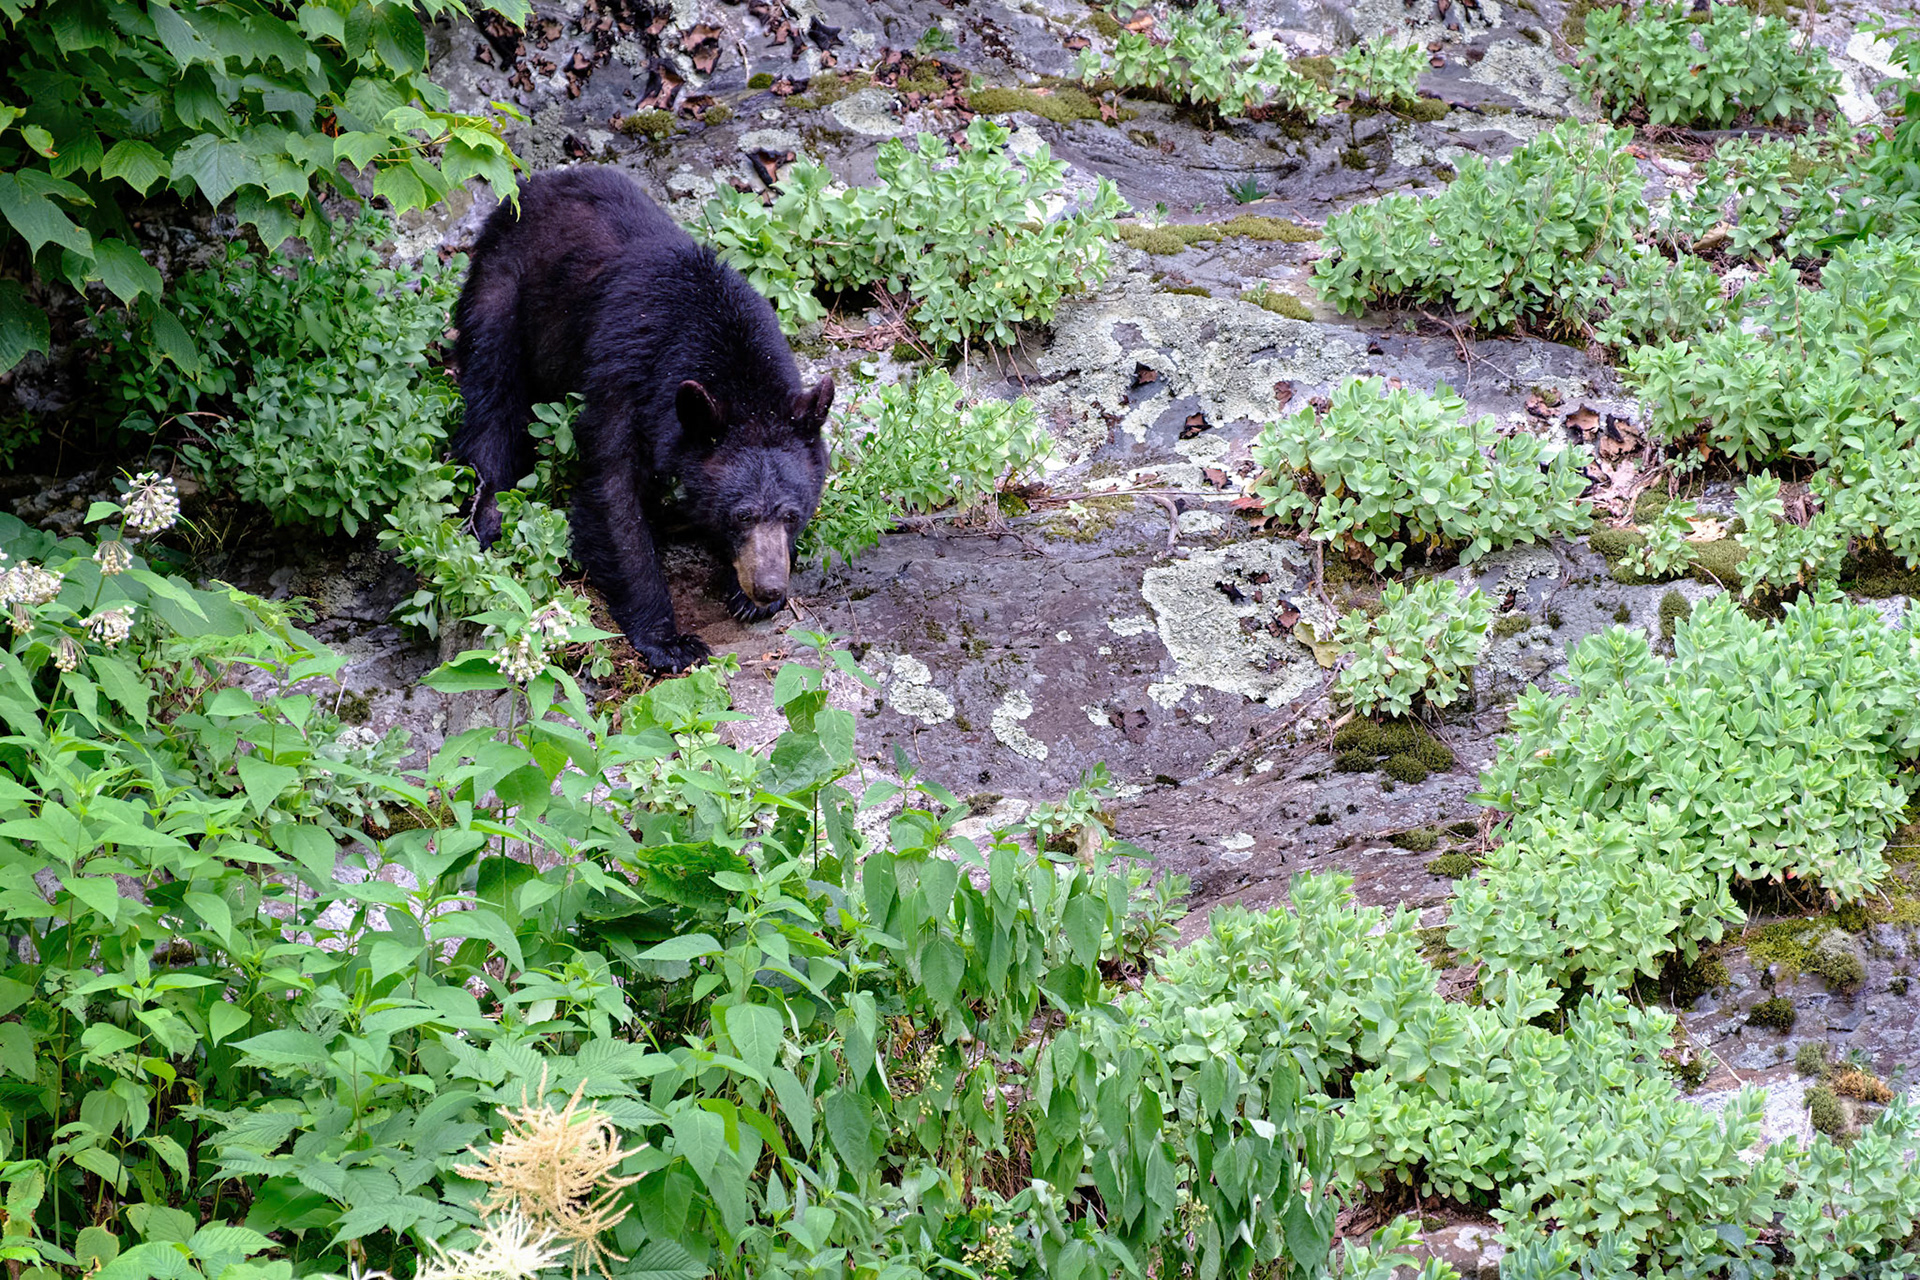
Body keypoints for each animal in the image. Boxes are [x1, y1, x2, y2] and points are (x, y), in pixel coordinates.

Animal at [451, 166, 835, 673]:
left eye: (792, 515)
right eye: (741, 514)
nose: (769, 586)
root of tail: (532, 184)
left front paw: (744, 599)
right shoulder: (628, 376)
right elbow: (613, 493)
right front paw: (669, 641)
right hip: (503, 287)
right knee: (492, 391)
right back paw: (489, 513)